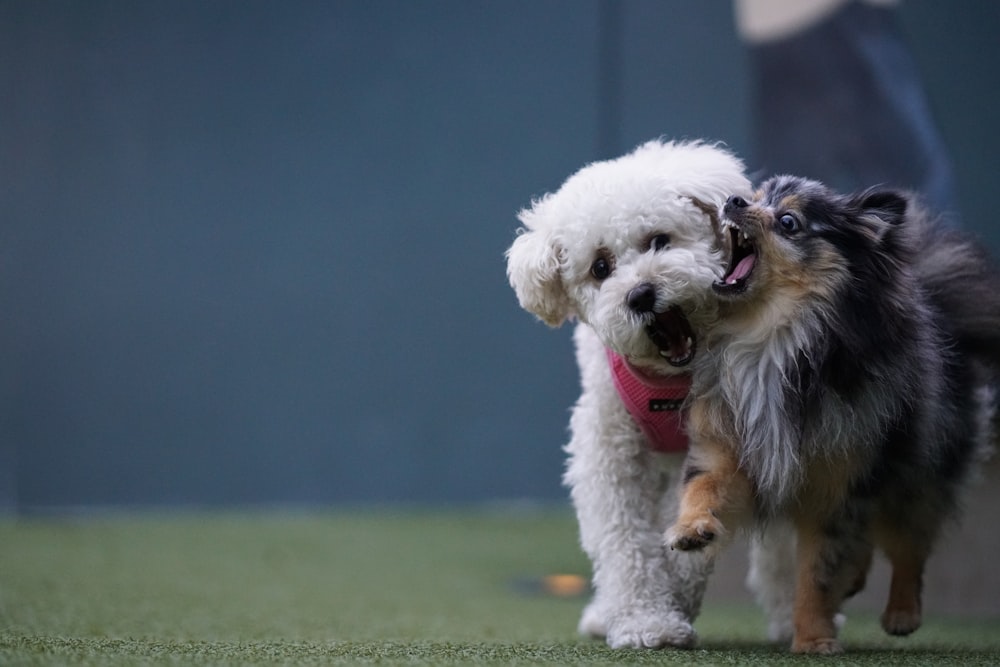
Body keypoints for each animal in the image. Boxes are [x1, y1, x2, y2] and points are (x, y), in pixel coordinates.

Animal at [508, 140, 796, 648]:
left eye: (659, 240)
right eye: (600, 267)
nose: (640, 295)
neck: (669, 382)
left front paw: (676, 590)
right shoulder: (608, 452)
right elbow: (624, 542)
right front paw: (647, 621)